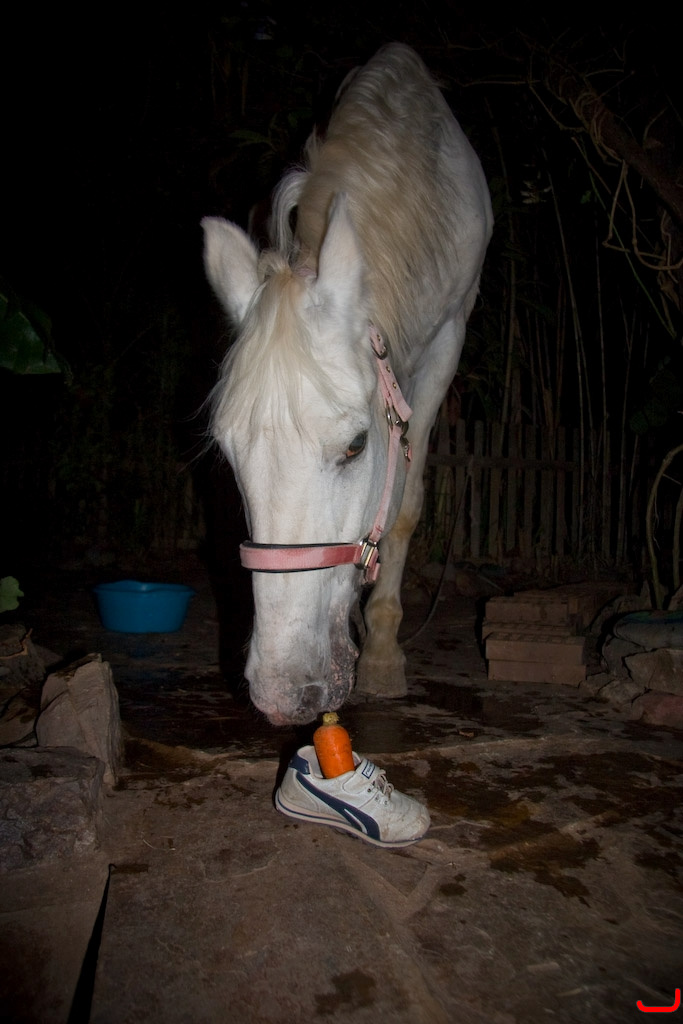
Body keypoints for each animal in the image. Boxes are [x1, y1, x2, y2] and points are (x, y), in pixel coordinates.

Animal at [202, 43, 492, 726]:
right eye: (228, 455)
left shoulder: (448, 336)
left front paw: (384, 650)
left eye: (357, 446)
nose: (284, 695)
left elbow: (407, 503)